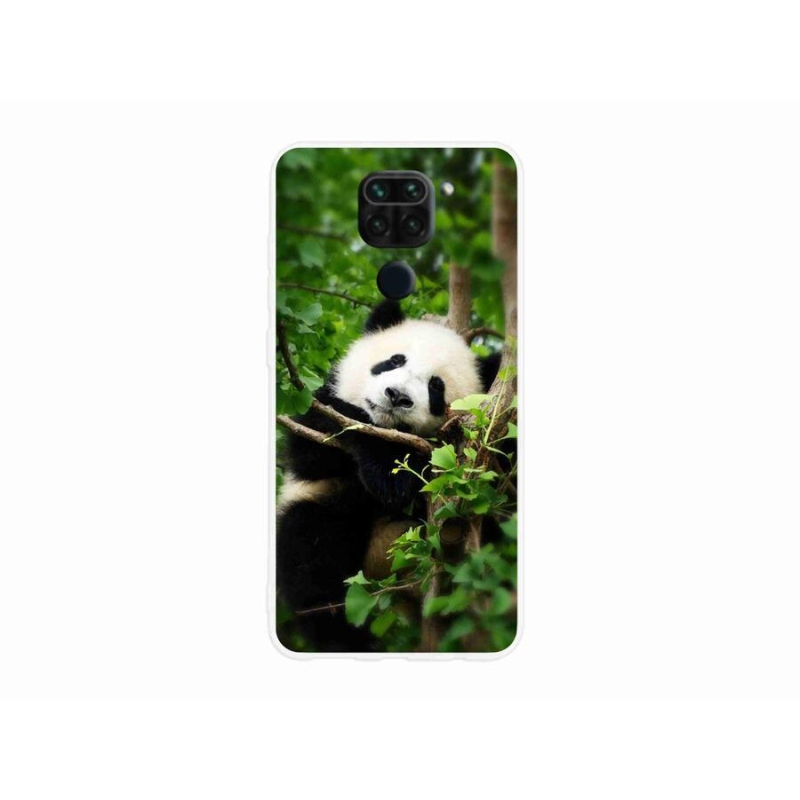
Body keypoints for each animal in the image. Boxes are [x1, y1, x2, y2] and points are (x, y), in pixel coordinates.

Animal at [276, 299, 501, 652]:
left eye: (436, 387)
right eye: (394, 361)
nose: (397, 396)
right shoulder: (317, 407)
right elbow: (313, 450)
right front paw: (389, 470)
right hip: (326, 514)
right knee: (312, 559)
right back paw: (345, 638)